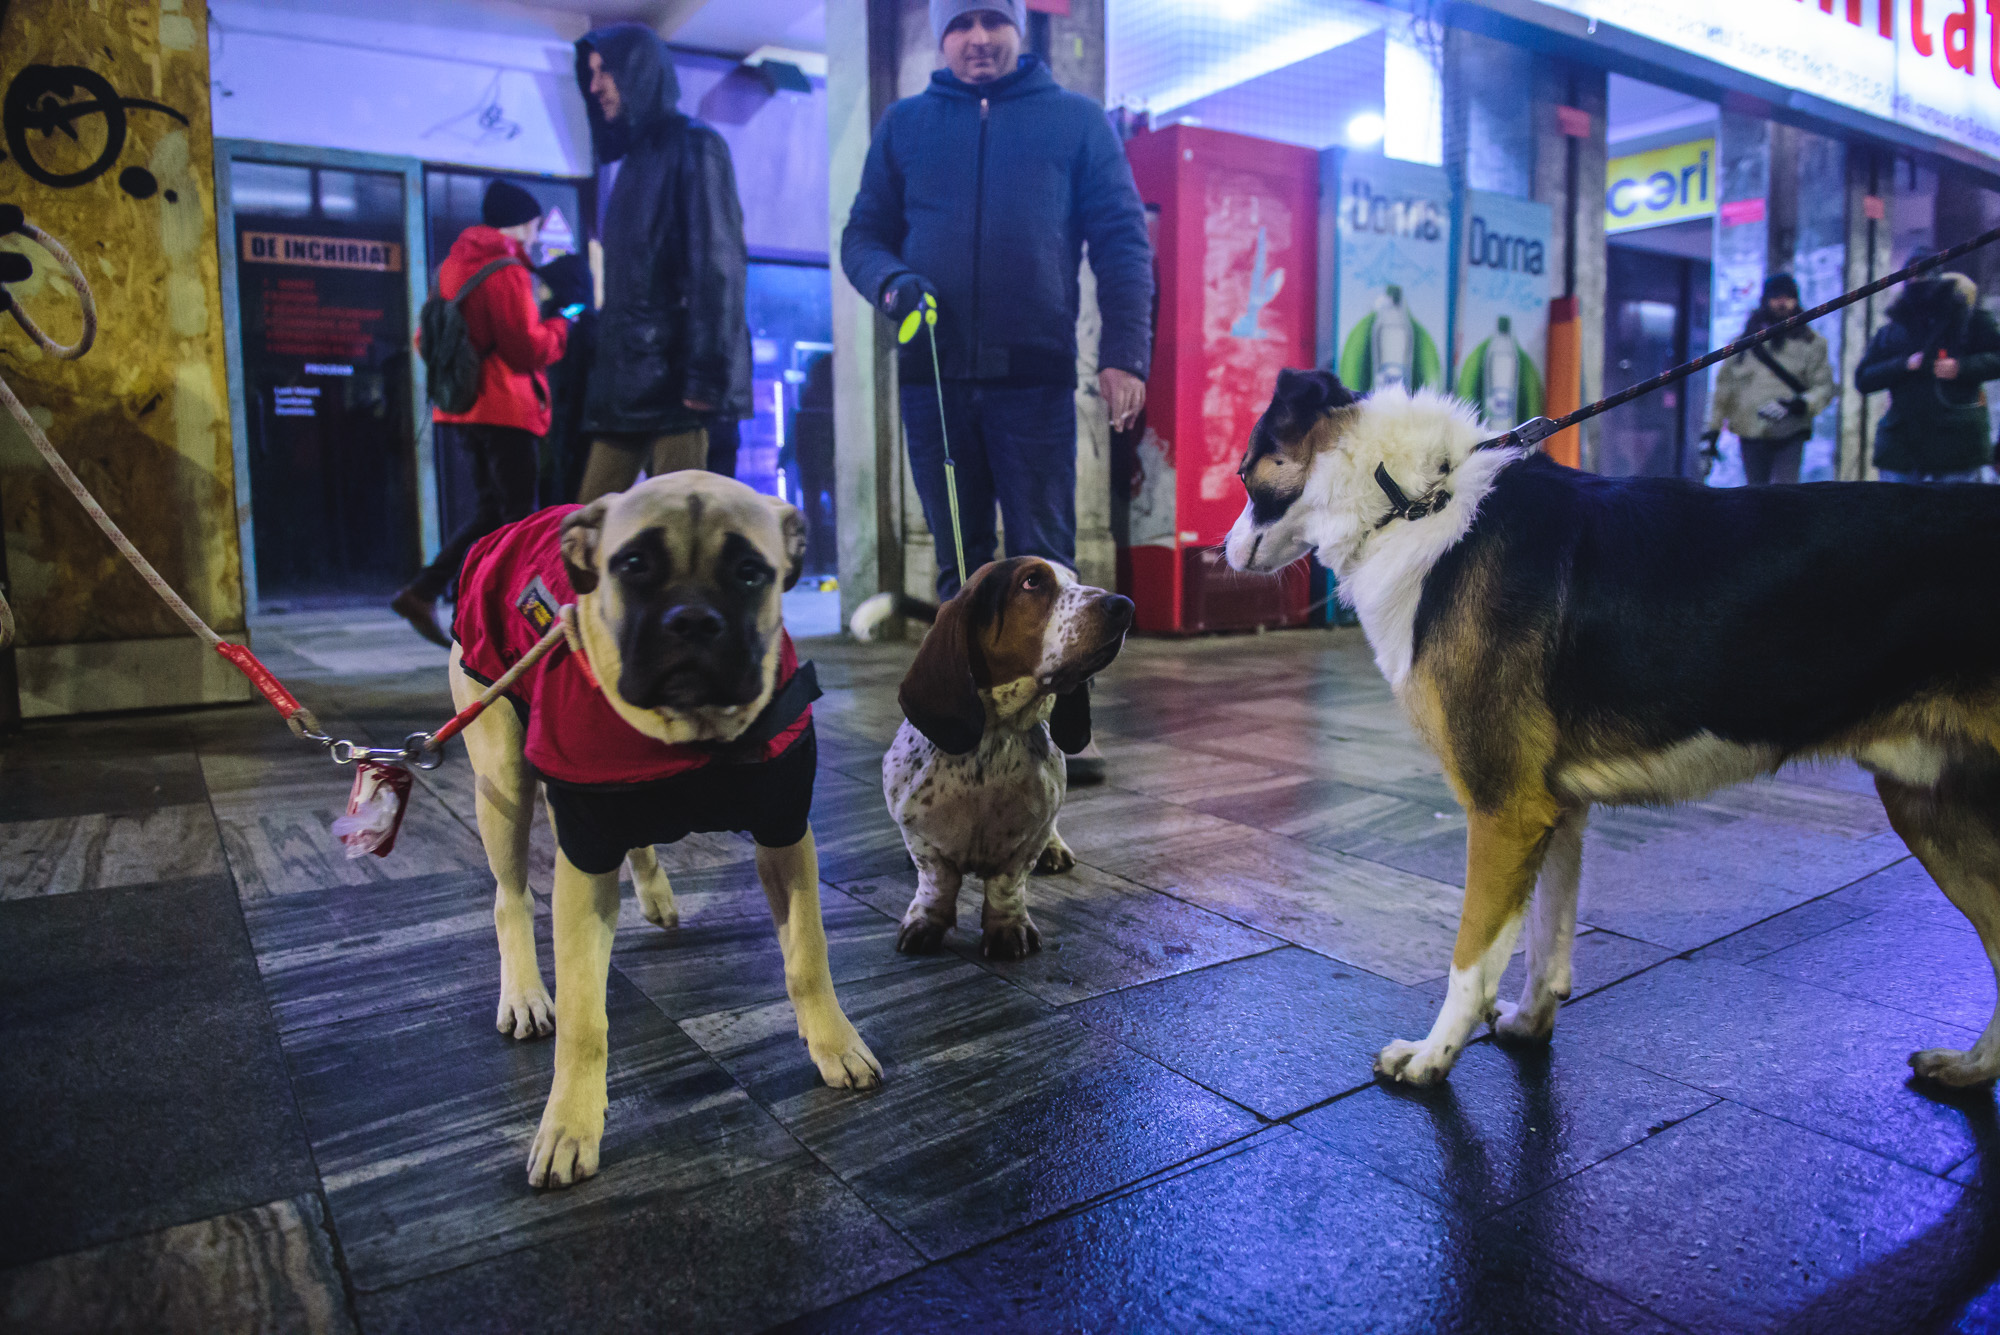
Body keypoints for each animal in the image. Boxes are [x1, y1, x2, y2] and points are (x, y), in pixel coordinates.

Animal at [454, 473, 876, 1183]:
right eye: (633, 566)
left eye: (750, 572)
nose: (693, 621)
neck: (690, 734)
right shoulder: (585, 855)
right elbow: (584, 1018)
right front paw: (569, 1122)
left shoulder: (785, 834)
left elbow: (808, 957)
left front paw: (834, 1041)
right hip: (502, 774)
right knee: (510, 896)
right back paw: (525, 992)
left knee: (639, 836)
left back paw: (653, 892)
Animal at [872, 559, 1128, 959]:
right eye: (1032, 581)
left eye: (1076, 579)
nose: (1125, 606)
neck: (998, 732)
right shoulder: (920, 834)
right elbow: (936, 882)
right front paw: (925, 923)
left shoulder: (1026, 842)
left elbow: (1007, 885)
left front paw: (1008, 929)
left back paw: (1056, 848)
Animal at [1224, 369, 2000, 1087]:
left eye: (1245, 473)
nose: (1221, 553)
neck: (1411, 501)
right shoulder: (1552, 809)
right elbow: (1545, 939)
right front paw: (1530, 1024)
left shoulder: (1503, 808)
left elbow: (1472, 958)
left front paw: (1432, 1056)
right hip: (1930, 809)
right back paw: (1971, 1068)